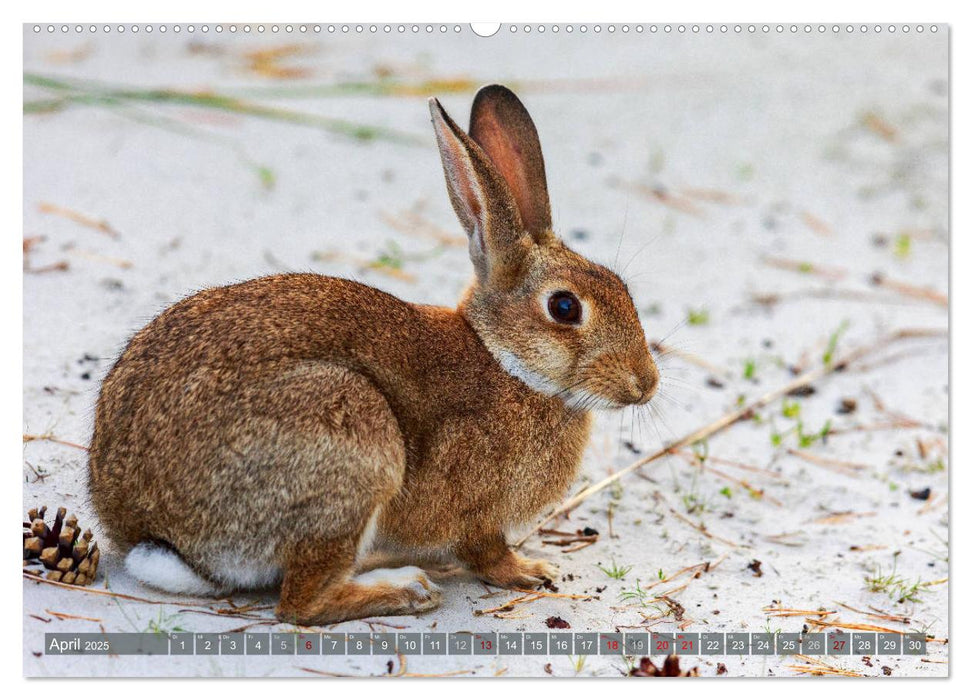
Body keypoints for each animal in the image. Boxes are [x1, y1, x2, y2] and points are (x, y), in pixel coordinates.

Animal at [89, 83, 660, 624]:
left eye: (623, 288)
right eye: (564, 307)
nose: (646, 383)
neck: (507, 363)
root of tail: (147, 530)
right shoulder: (473, 509)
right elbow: (485, 552)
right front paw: (530, 571)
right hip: (354, 444)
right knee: (300, 603)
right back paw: (407, 589)